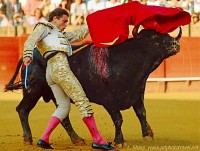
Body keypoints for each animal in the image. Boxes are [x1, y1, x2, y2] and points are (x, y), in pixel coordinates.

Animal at [5, 26, 182, 146]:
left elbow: (142, 113)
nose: (175, 43)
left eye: (166, 34)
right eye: (153, 38)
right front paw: (119, 141)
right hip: (32, 91)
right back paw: (28, 138)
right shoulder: (109, 100)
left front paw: (148, 135)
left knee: (63, 117)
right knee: (22, 110)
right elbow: (118, 119)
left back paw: (77, 139)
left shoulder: (137, 93)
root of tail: (29, 56)